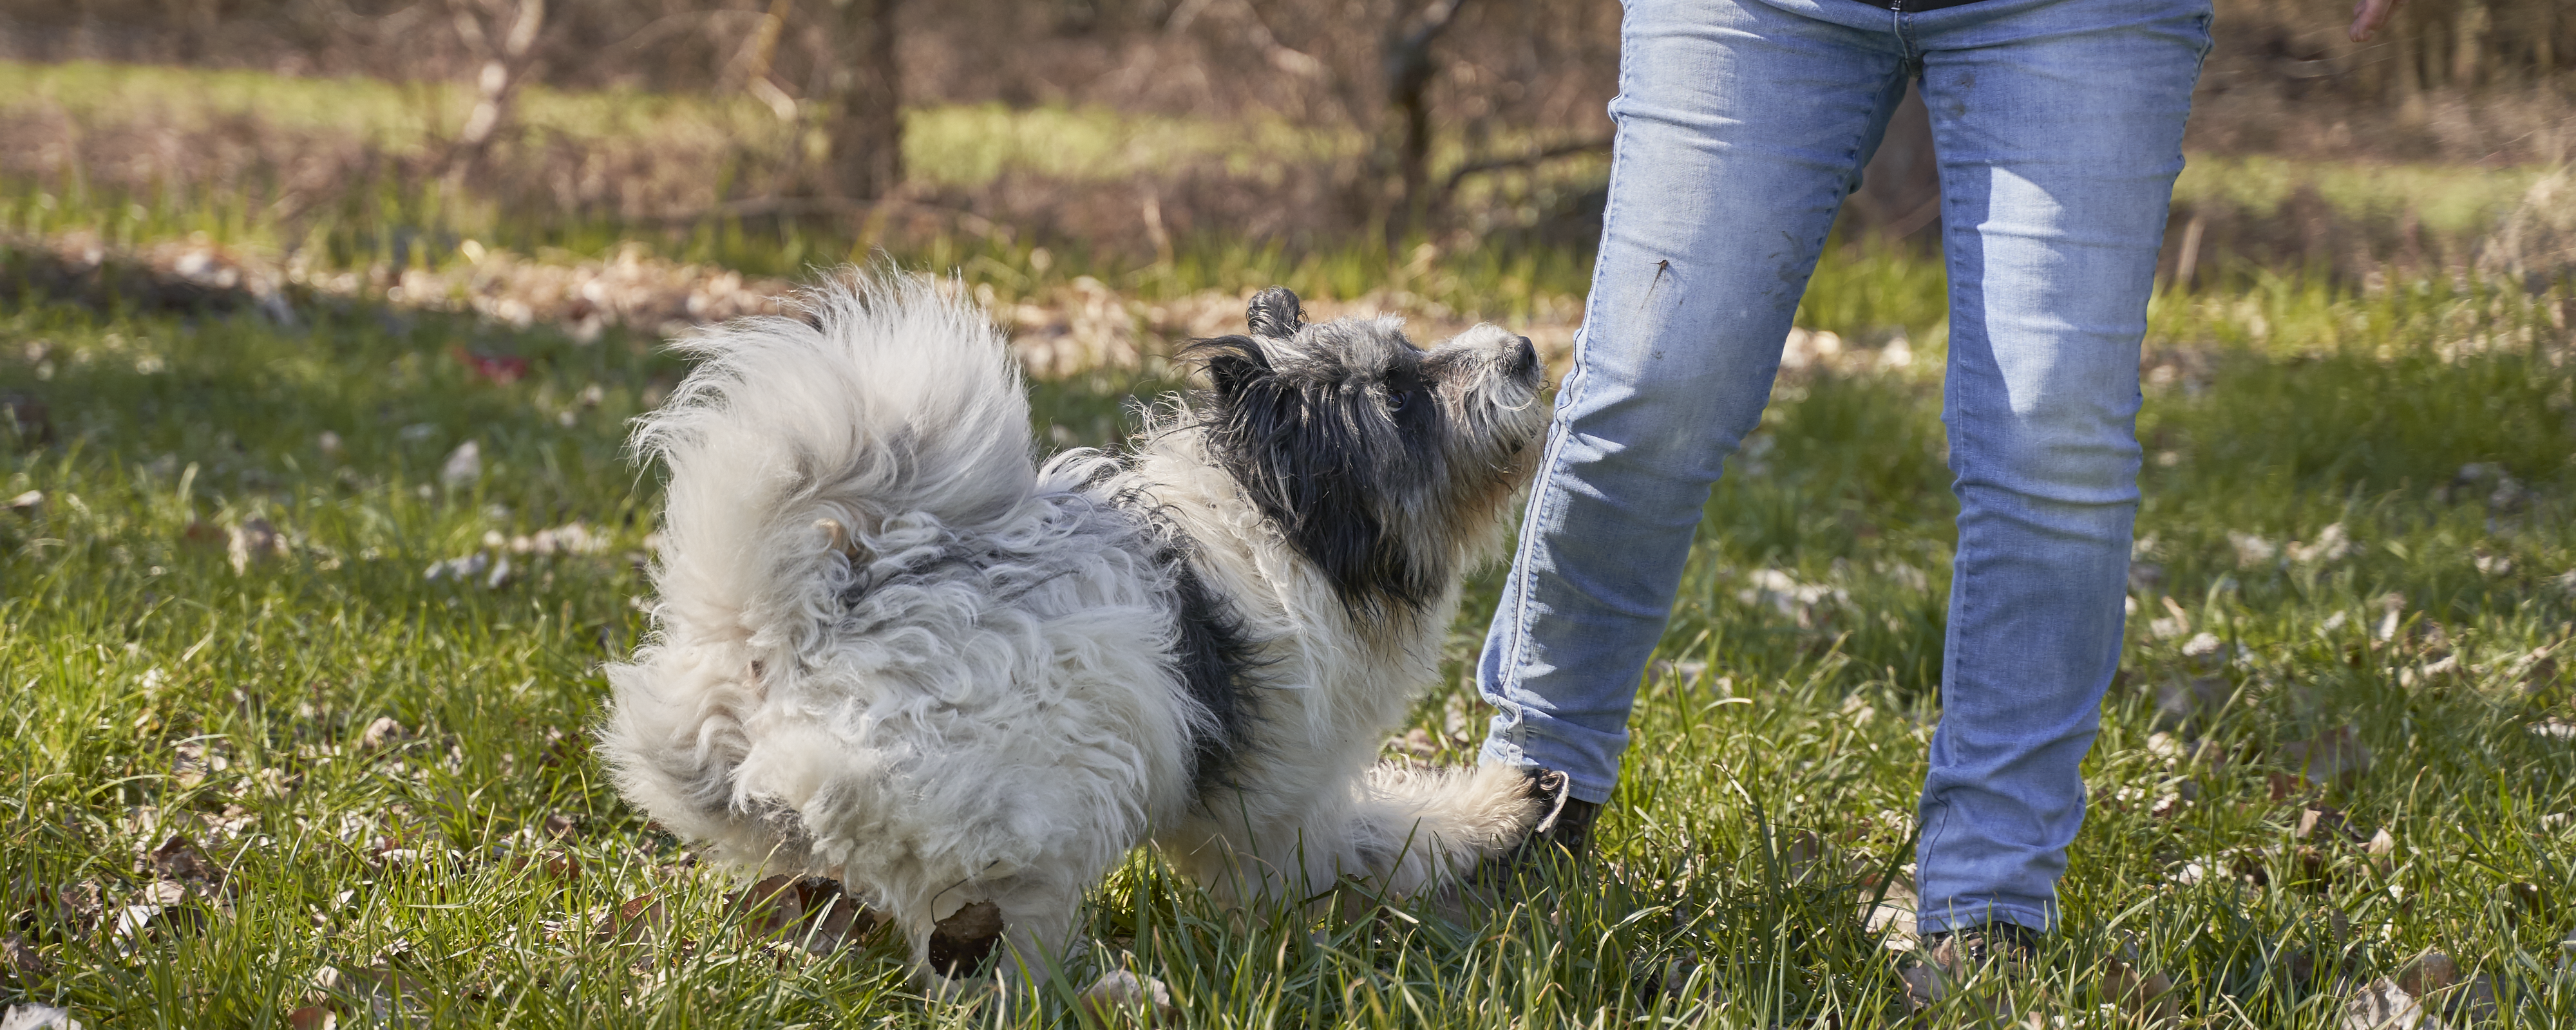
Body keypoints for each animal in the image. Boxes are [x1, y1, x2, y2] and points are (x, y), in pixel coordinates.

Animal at [598, 269, 1546, 984]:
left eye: (1413, 352)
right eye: (1401, 397)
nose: (1527, 350)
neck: (1281, 521)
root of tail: (788, 634)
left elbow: (1386, 831)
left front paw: (1499, 806)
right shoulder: (1278, 797)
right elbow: (1370, 838)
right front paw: (1483, 818)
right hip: (1029, 820)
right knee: (986, 950)